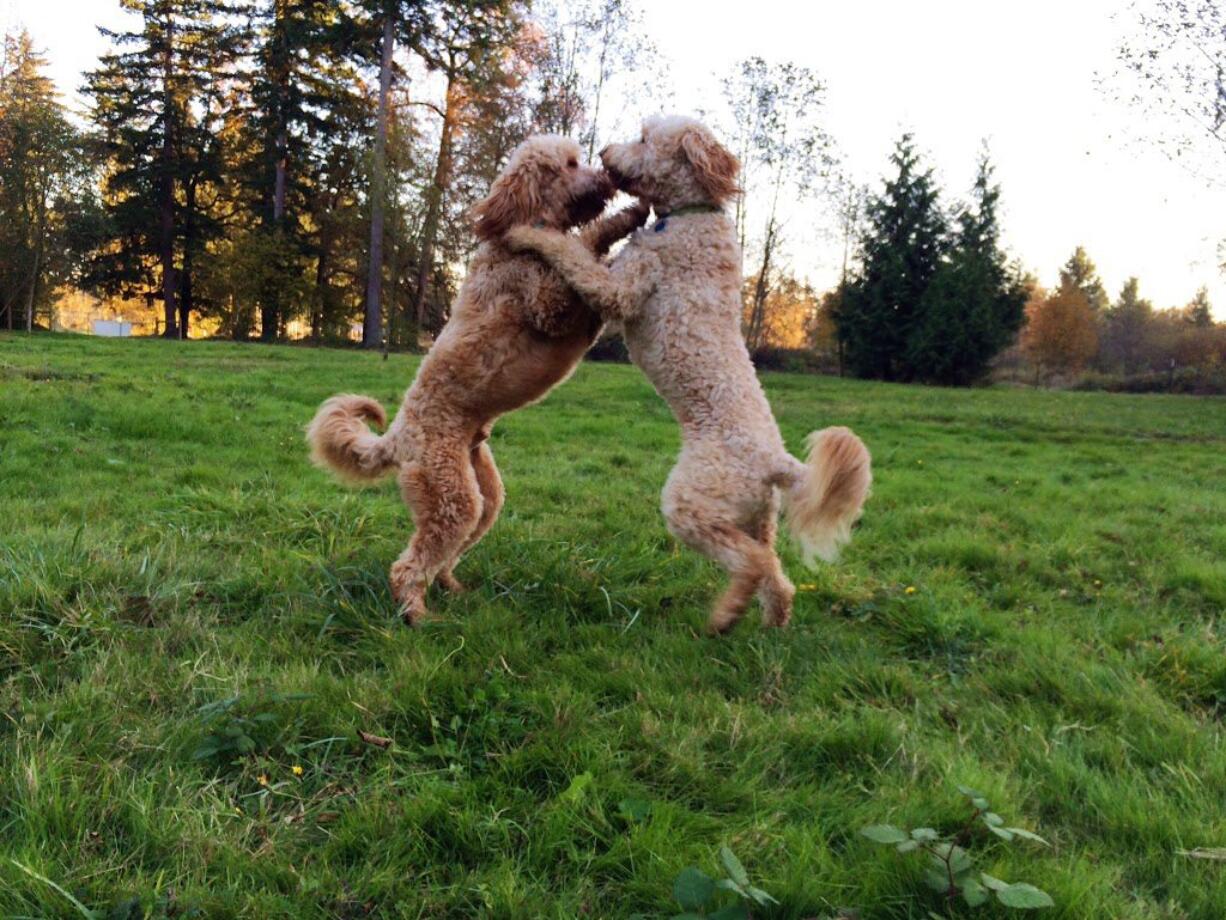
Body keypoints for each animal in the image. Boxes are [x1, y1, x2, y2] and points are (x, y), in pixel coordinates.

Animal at [306, 134, 647, 628]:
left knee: (447, 553)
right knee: (410, 564)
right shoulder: (548, 304)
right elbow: (582, 246)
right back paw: (416, 615)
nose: (606, 176)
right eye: (568, 164)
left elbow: (587, 265)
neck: (507, 245)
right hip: (451, 494)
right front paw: (621, 220)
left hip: (485, 493)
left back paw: (452, 588)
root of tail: (396, 437)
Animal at [507, 115, 872, 632]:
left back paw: (723, 618)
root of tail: (775, 461)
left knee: (751, 563)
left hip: (692, 503)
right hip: (754, 517)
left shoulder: (624, 288)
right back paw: (768, 623)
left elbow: (573, 256)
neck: (690, 215)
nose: (605, 151)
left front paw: (531, 235)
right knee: (776, 574)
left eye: (644, 137)